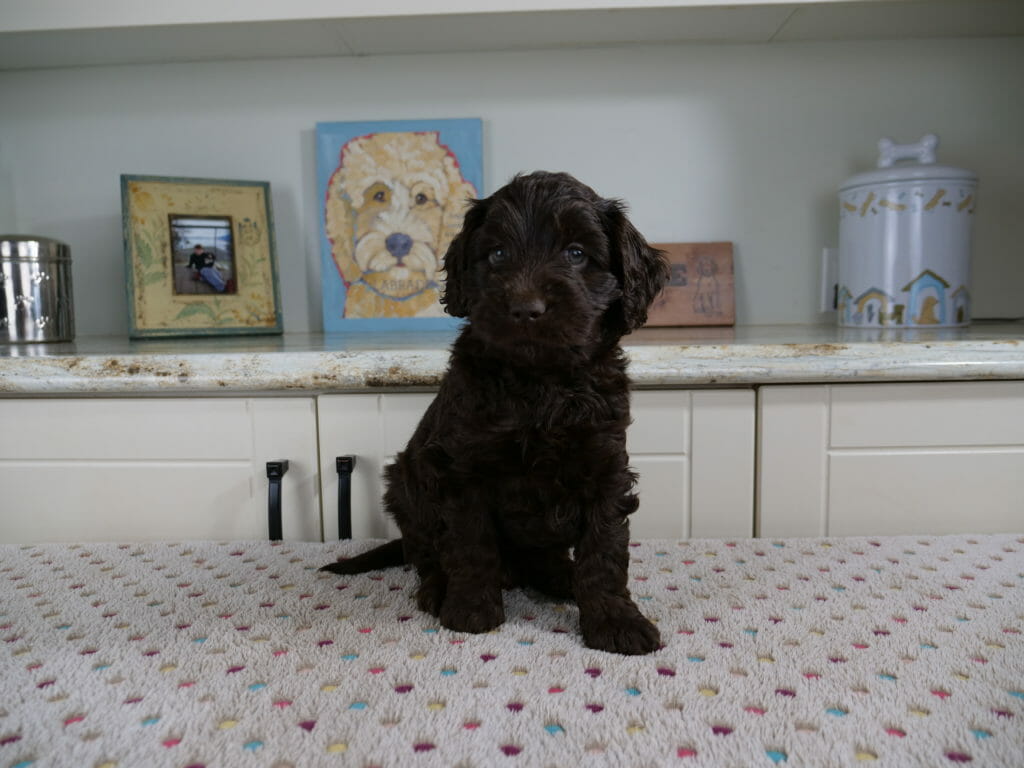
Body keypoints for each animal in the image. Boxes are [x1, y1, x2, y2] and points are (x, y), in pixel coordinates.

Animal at [321, 169, 671, 655]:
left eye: (576, 253)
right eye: (498, 253)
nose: (526, 309)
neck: (541, 383)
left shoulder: (605, 467)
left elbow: (604, 550)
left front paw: (616, 621)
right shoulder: (465, 466)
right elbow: (471, 542)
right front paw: (471, 608)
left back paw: (562, 578)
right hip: (406, 485)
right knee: (425, 554)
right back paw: (438, 590)